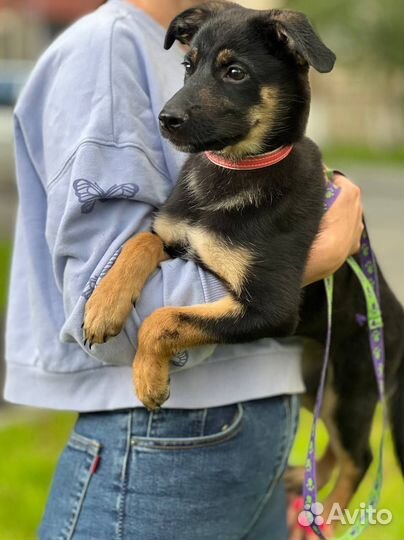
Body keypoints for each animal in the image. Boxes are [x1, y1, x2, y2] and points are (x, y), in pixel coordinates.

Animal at [83, 2, 402, 516]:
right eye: (188, 66)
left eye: (235, 72)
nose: (166, 119)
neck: (234, 171)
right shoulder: (174, 235)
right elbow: (139, 242)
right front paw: (104, 306)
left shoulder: (269, 308)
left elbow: (164, 319)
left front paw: (148, 378)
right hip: (316, 382)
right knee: (330, 446)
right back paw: (305, 495)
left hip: (354, 388)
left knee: (359, 456)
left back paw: (327, 517)